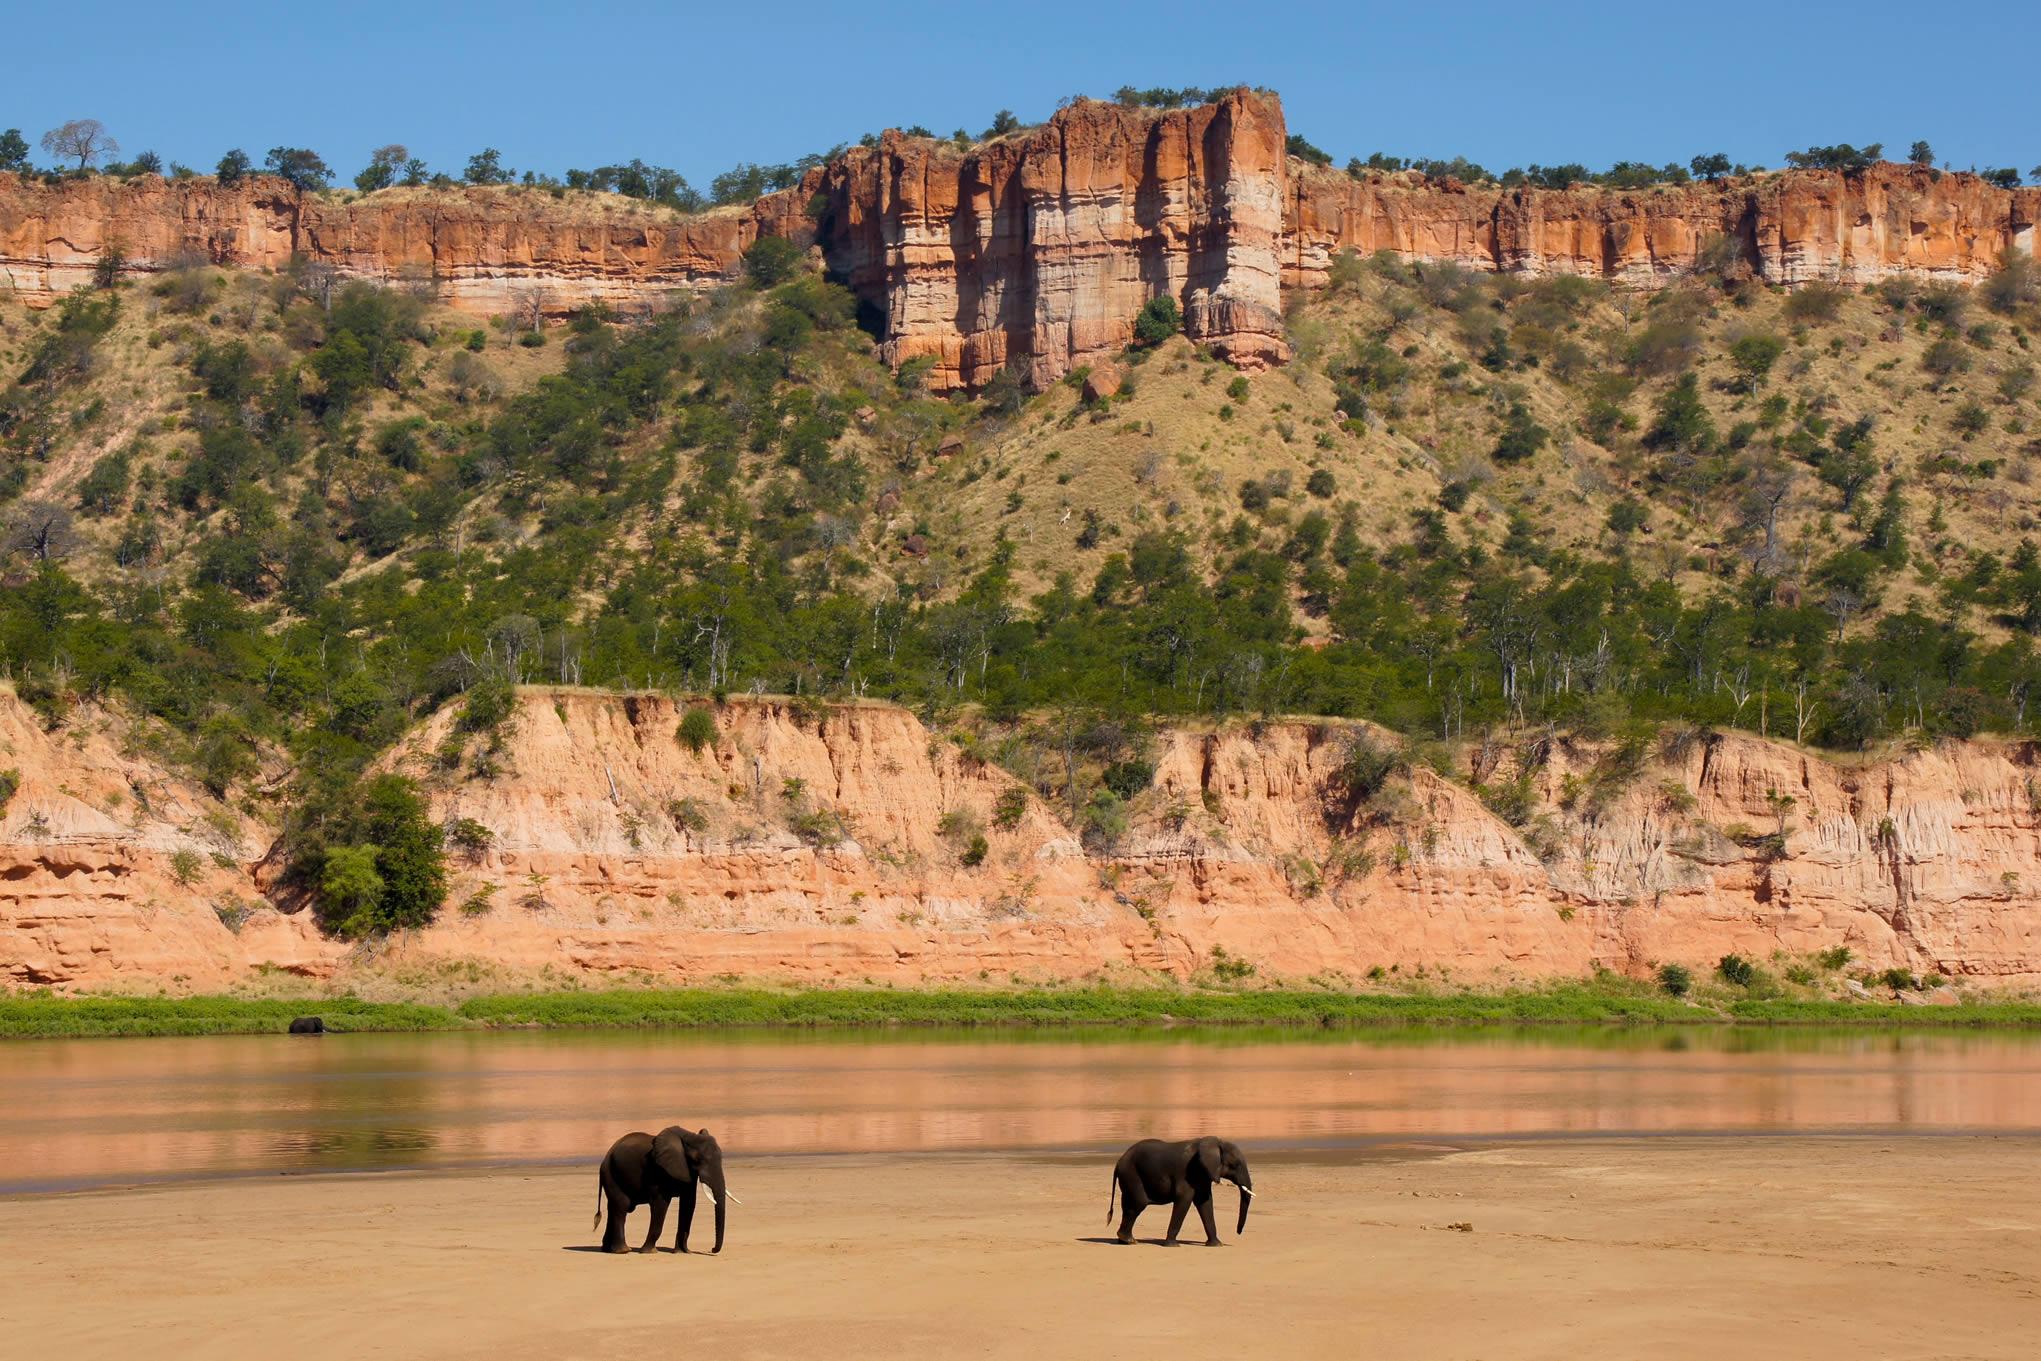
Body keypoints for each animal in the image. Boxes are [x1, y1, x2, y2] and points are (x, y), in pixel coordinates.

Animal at [595, 1126, 730, 1256]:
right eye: (696, 1159)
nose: (711, 1250)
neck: (688, 1136)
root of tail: (605, 1158)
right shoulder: (657, 1170)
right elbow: (661, 1204)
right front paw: (649, 1251)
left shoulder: (687, 1171)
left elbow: (689, 1203)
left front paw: (682, 1252)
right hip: (611, 1174)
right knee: (621, 1206)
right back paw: (623, 1250)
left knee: (613, 1207)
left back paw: (607, 1249)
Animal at [1110, 1142, 1249, 1248]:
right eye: (1235, 1165)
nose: (1238, 1232)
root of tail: (1119, 1161)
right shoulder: (1186, 1174)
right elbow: (1184, 1200)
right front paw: (1172, 1245)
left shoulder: (1202, 1176)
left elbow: (1205, 1203)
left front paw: (1216, 1245)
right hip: (1131, 1175)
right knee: (1138, 1204)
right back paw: (1129, 1241)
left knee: (1128, 1206)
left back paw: (1124, 1241)